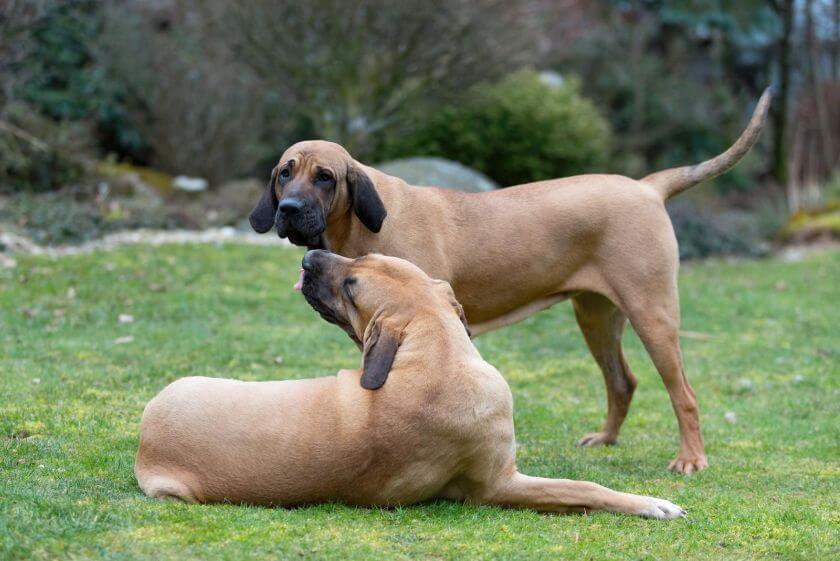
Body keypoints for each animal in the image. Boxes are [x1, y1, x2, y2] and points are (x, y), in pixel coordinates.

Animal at [138, 252, 684, 520]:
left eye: (355, 277)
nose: (309, 254)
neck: (437, 356)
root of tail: (146, 441)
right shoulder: (498, 485)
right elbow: (586, 488)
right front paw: (650, 503)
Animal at [249, 87, 776, 472]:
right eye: (283, 174)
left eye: (325, 177)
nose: (288, 210)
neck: (361, 224)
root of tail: (647, 188)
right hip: (596, 317)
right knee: (622, 381)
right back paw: (607, 438)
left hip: (653, 315)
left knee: (683, 394)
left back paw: (691, 459)